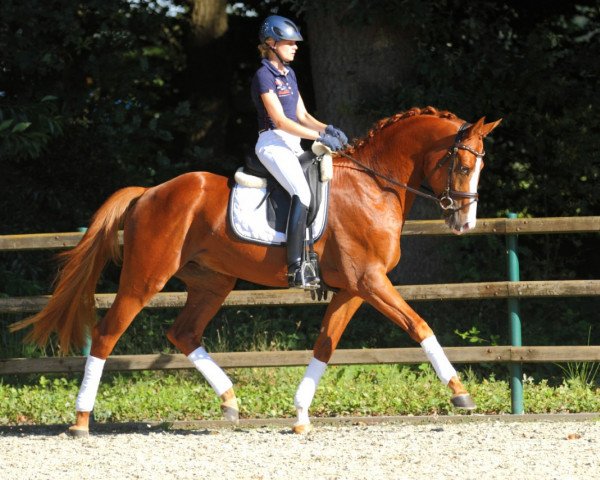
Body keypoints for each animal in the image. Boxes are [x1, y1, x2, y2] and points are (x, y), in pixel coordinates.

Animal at [12, 108, 502, 436]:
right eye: (462, 165)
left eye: (481, 165)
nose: (465, 222)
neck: (374, 183)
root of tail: (149, 192)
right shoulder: (370, 281)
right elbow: (419, 325)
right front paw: (460, 392)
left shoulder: (354, 288)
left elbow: (325, 344)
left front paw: (300, 416)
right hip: (145, 278)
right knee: (108, 333)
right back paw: (80, 420)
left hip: (213, 282)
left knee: (183, 333)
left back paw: (230, 402)